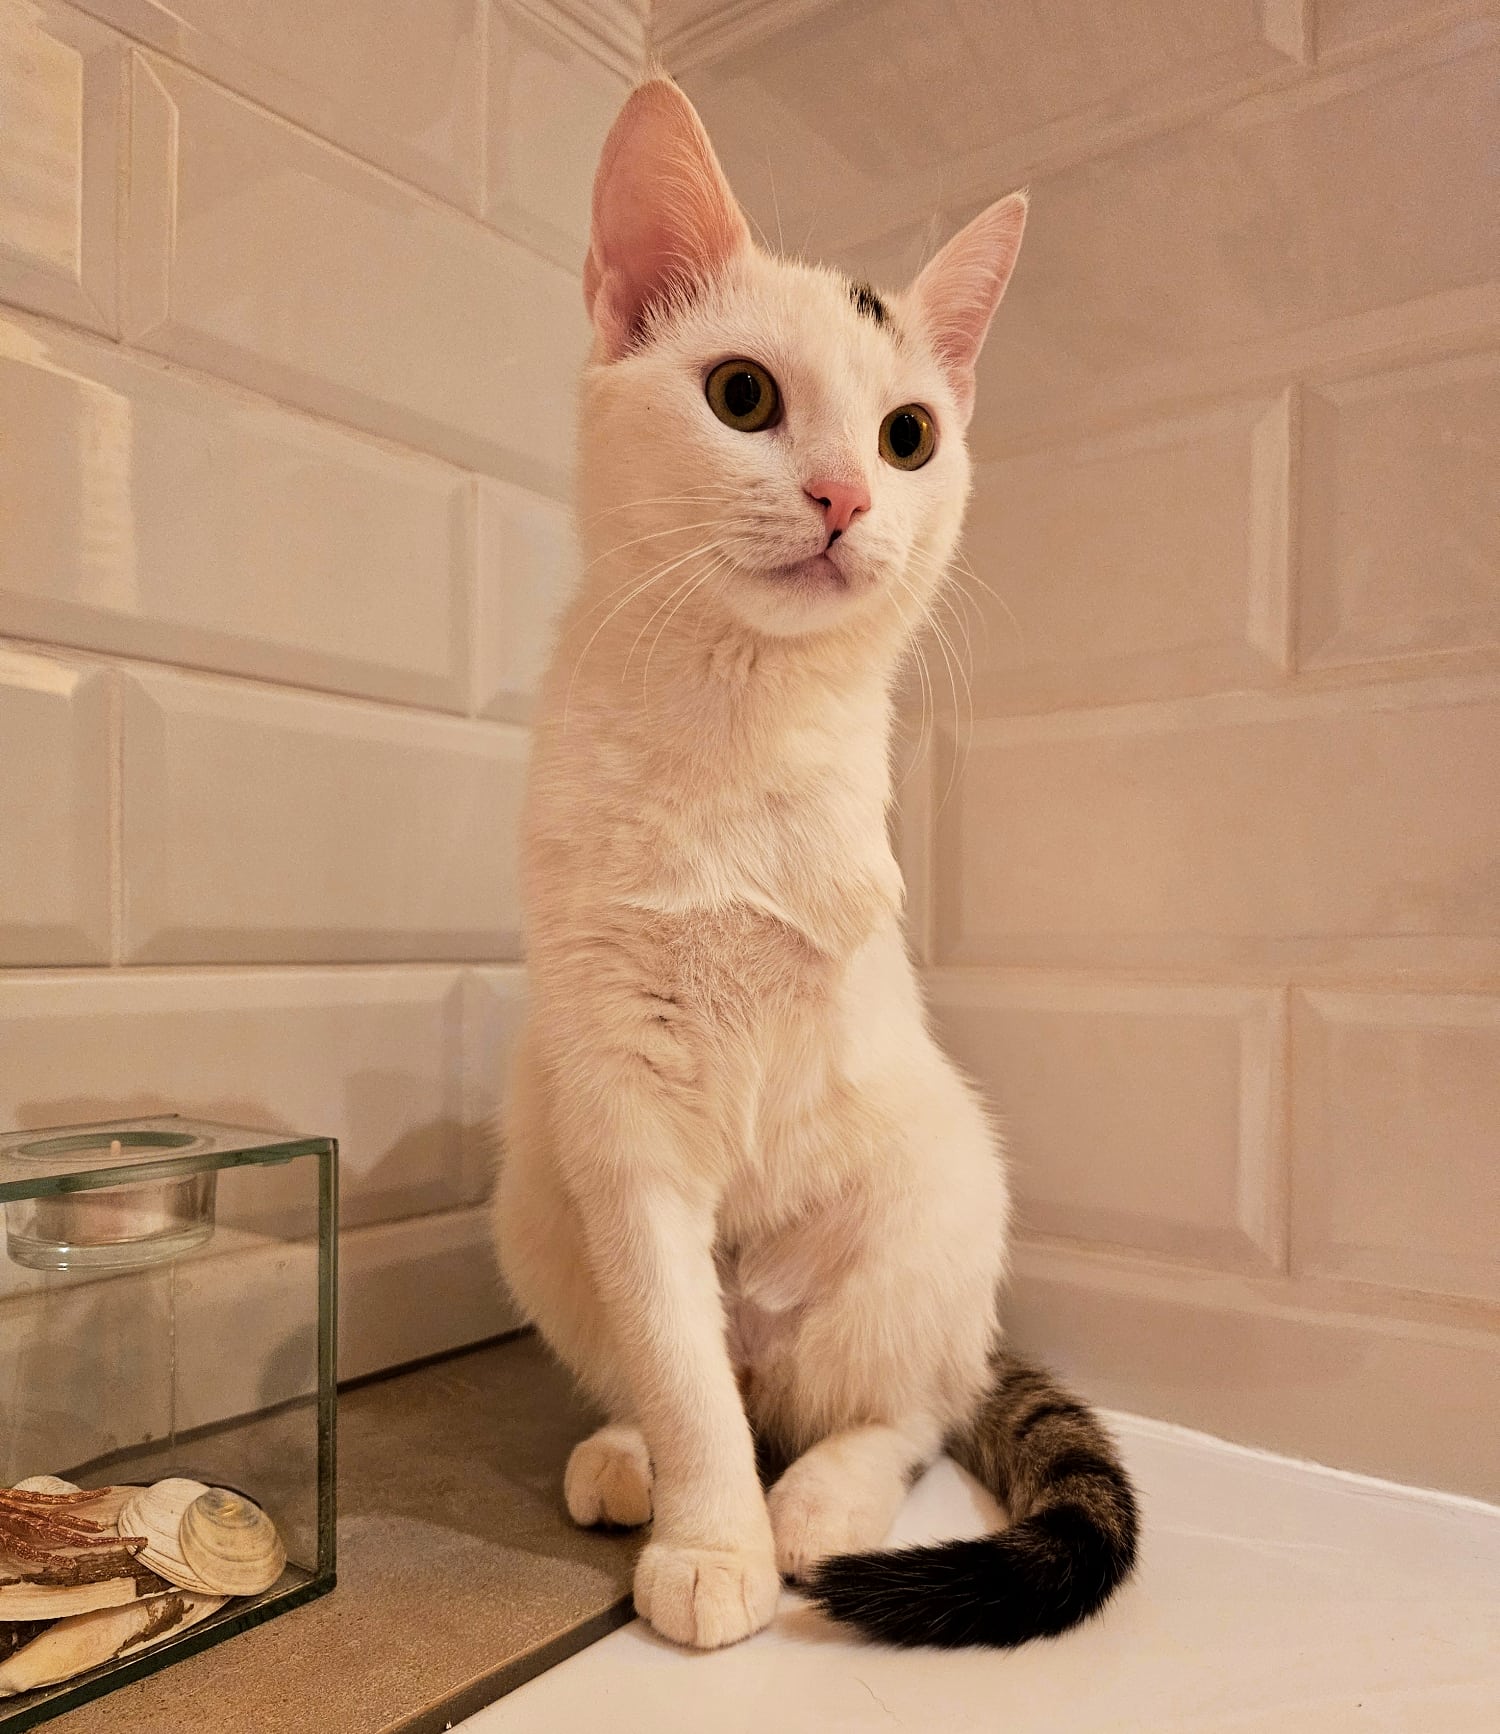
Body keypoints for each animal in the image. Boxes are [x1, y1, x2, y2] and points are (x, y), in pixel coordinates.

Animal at [492, 75, 1138, 1652]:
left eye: (910, 435)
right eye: (742, 395)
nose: (848, 494)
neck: (732, 727)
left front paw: (738, 1540)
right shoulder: (621, 1113)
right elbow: (682, 1363)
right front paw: (702, 1530)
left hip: (936, 1199)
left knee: (900, 1406)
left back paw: (820, 1503)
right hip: (536, 1172)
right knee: (709, 1382)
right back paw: (635, 1459)